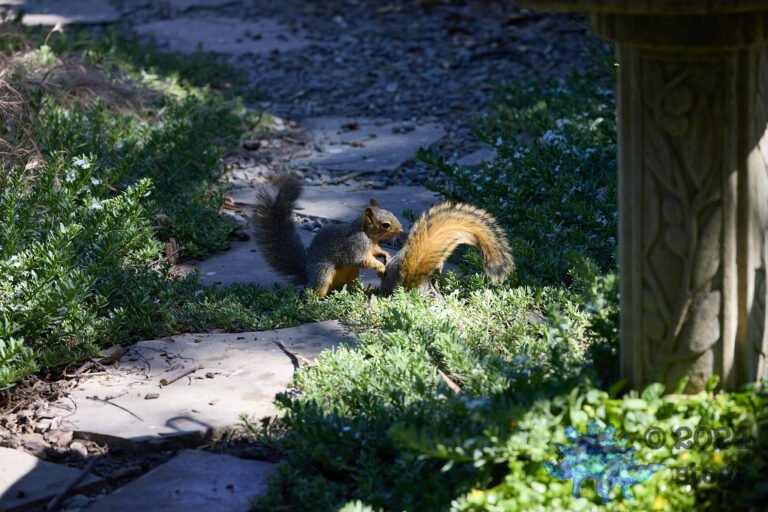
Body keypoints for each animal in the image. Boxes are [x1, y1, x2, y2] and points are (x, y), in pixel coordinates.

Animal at [251, 172, 404, 298]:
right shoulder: (356, 244)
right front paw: (381, 266)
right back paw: (319, 301)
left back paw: (358, 292)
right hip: (323, 272)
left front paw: (385, 254)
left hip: (352, 274)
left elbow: (375, 251)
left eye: (391, 213)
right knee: (315, 290)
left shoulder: (371, 245)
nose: (401, 230)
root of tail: (307, 275)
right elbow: (361, 259)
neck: (366, 233)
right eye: (385, 225)